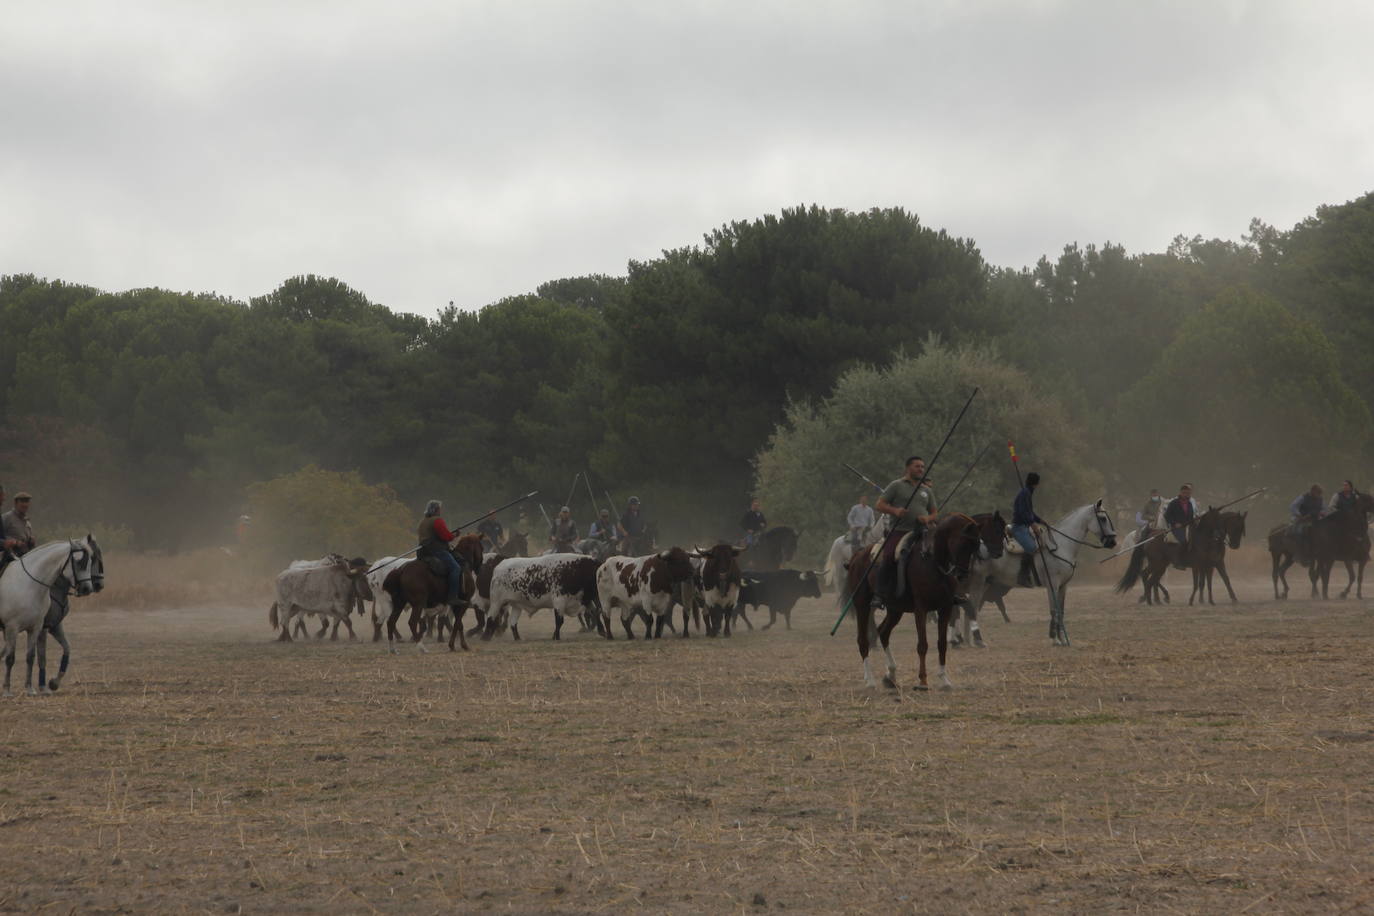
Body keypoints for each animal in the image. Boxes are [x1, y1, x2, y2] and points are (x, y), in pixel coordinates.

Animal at [0, 538, 104, 694]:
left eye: (91, 560)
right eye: (80, 562)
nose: (88, 588)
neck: (29, 585)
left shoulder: (38, 627)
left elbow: (32, 656)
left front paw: (32, 688)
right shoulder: (13, 627)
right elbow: (12, 658)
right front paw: (7, 690)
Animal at [846, 513, 989, 692]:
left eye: (975, 546)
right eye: (964, 543)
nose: (962, 575)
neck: (933, 562)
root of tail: (857, 556)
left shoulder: (945, 608)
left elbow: (942, 643)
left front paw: (944, 680)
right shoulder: (921, 609)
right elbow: (922, 645)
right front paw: (922, 681)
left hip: (895, 610)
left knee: (883, 632)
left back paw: (890, 676)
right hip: (862, 606)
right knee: (863, 640)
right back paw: (870, 680)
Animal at [967, 502, 1115, 645]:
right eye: (1103, 518)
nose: (1113, 542)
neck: (1061, 546)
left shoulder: (1063, 586)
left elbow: (1061, 610)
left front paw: (1063, 639)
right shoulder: (1052, 585)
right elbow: (1054, 610)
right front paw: (1055, 639)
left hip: (986, 582)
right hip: (978, 582)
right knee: (972, 607)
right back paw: (974, 640)